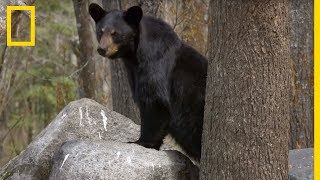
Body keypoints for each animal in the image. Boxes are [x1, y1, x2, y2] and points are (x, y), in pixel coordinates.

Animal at [89, 3, 208, 162]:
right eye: (100, 31)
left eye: (115, 33)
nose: (102, 49)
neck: (135, 55)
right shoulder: (134, 72)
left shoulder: (155, 65)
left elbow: (154, 101)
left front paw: (140, 142)